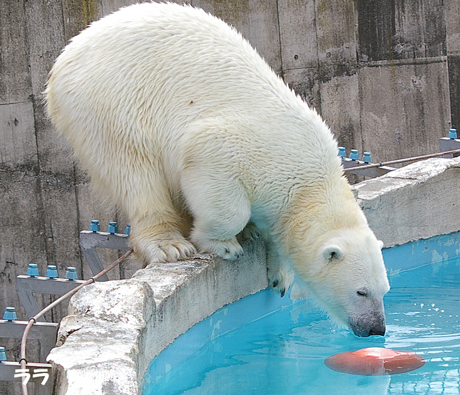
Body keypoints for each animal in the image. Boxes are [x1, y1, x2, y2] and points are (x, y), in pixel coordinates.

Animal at [45, 3, 390, 338]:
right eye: (361, 291)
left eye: (384, 290)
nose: (377, 328)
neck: (310, 180)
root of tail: (68, 54)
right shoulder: (232, 149)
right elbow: (217, 182)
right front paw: (222, 243)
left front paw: (279, 273)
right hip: (111, 103)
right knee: (135, 170)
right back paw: (170, 244)